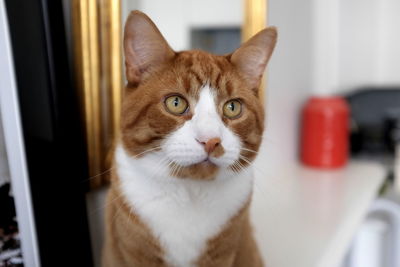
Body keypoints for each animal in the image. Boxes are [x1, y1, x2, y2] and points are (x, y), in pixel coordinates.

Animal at [102, 10, 278, 267]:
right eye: (176, 103)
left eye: (233, 107)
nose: (211, 141)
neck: (189, 193)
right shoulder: (136, 253)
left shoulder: (223, 254)